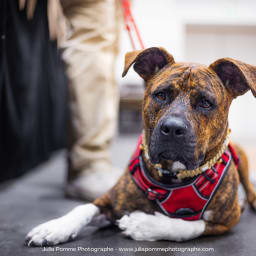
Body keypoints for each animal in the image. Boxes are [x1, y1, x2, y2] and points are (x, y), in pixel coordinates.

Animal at [25, 46, 256, 246]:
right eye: (161, 95)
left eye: (205, 103)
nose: (173, 128)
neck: (172, 176)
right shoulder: (110, 200)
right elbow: (84, 208)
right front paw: (55, 227)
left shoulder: (227, 220)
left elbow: (189, 226)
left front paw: (145, 225)